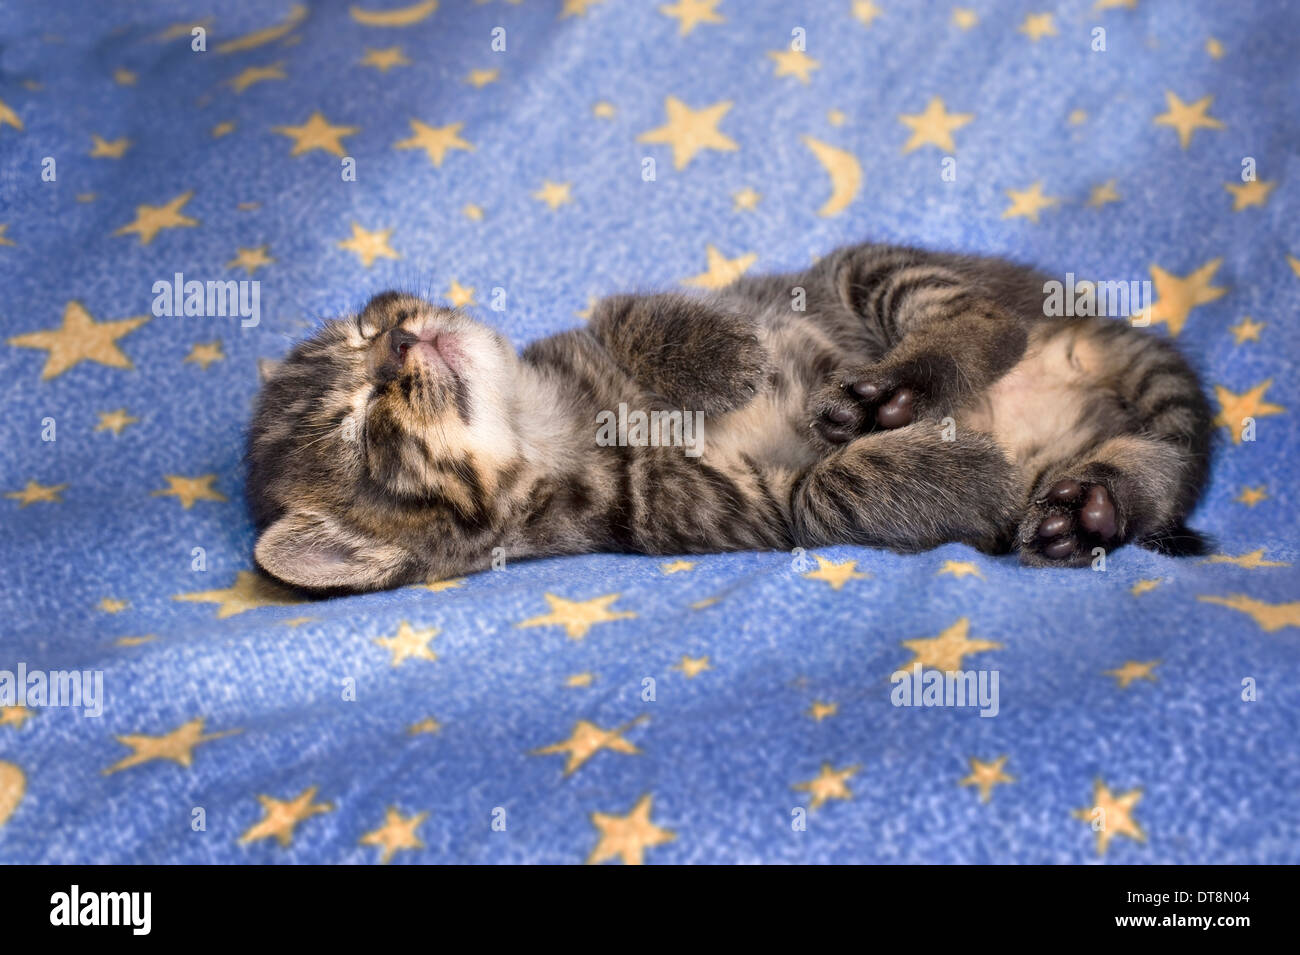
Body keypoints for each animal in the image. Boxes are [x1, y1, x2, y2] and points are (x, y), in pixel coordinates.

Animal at [248, 242, 1211, 589]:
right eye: (358, 428)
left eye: (368, 329)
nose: (397, 341)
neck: (549, 423)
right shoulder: (727, 509)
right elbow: (828, 489)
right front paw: (961, 468)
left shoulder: (587, 337)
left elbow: (626, 311)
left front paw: (722, 355)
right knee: (1148, 465)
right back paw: (1090, 505)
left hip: (866, 266)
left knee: (981, 319)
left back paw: (895, 390)